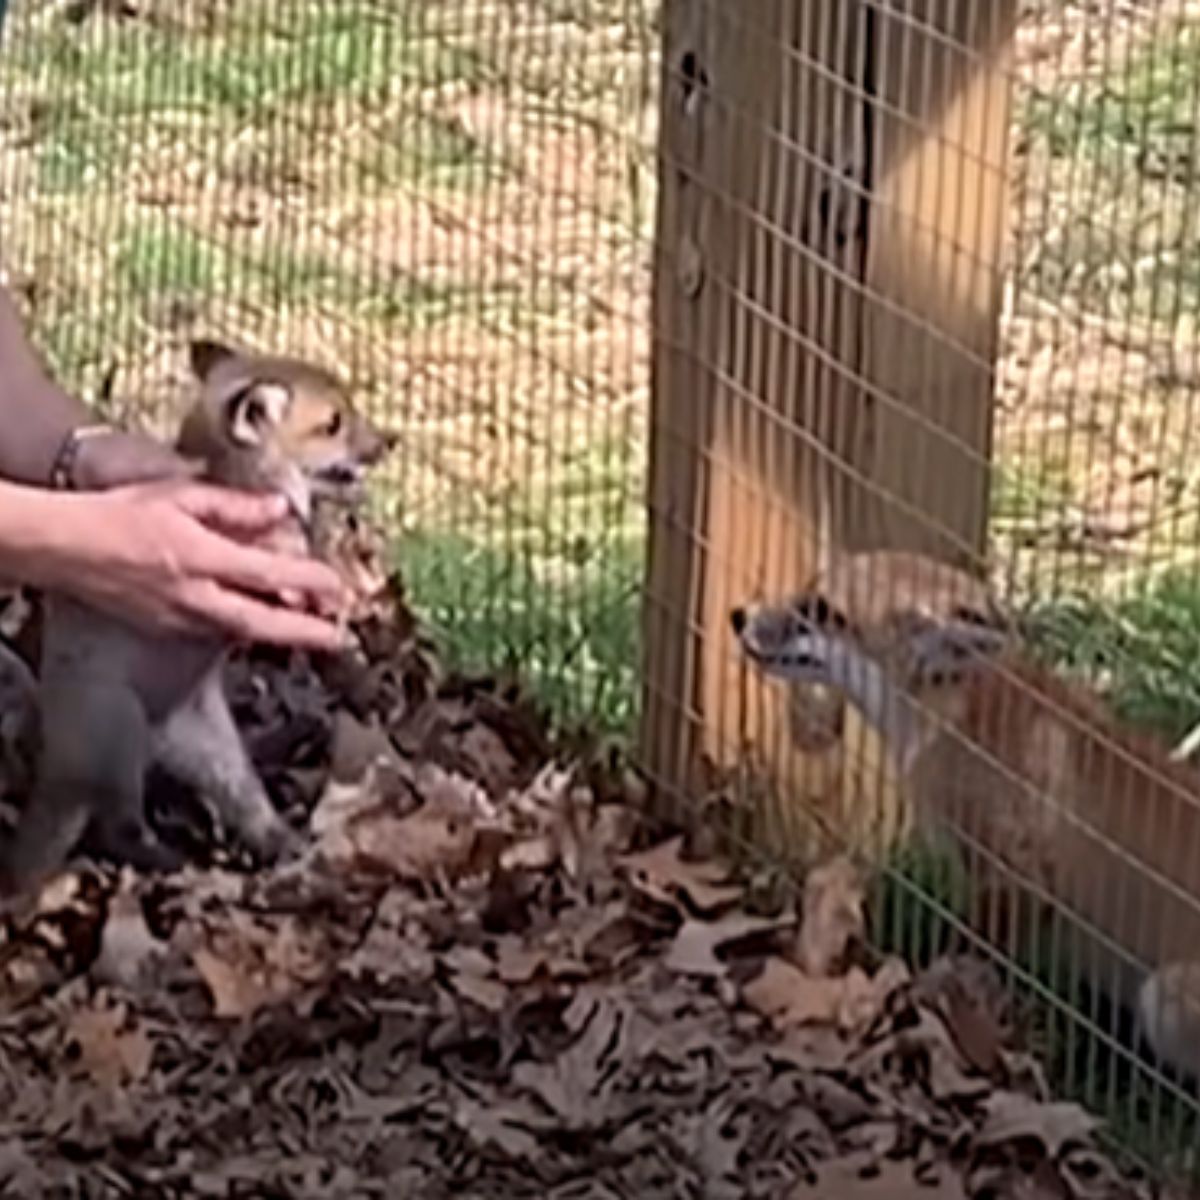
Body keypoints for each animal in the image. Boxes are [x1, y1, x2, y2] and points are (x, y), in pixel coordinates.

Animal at [1, 343, 393, 897]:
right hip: (121, 736)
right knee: (115, 828)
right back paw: (169, 860)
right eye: (334, 422)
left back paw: (282, 840)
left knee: (245, 804)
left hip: (210, 750)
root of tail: (55, 773)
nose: (390, 441)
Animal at [724, 556, 1200, 1084]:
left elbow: (953, 959)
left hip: (1164, 998)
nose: (738, 616)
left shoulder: (1016, 881)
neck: (960, 722)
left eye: (822, 611)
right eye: (804, 592)